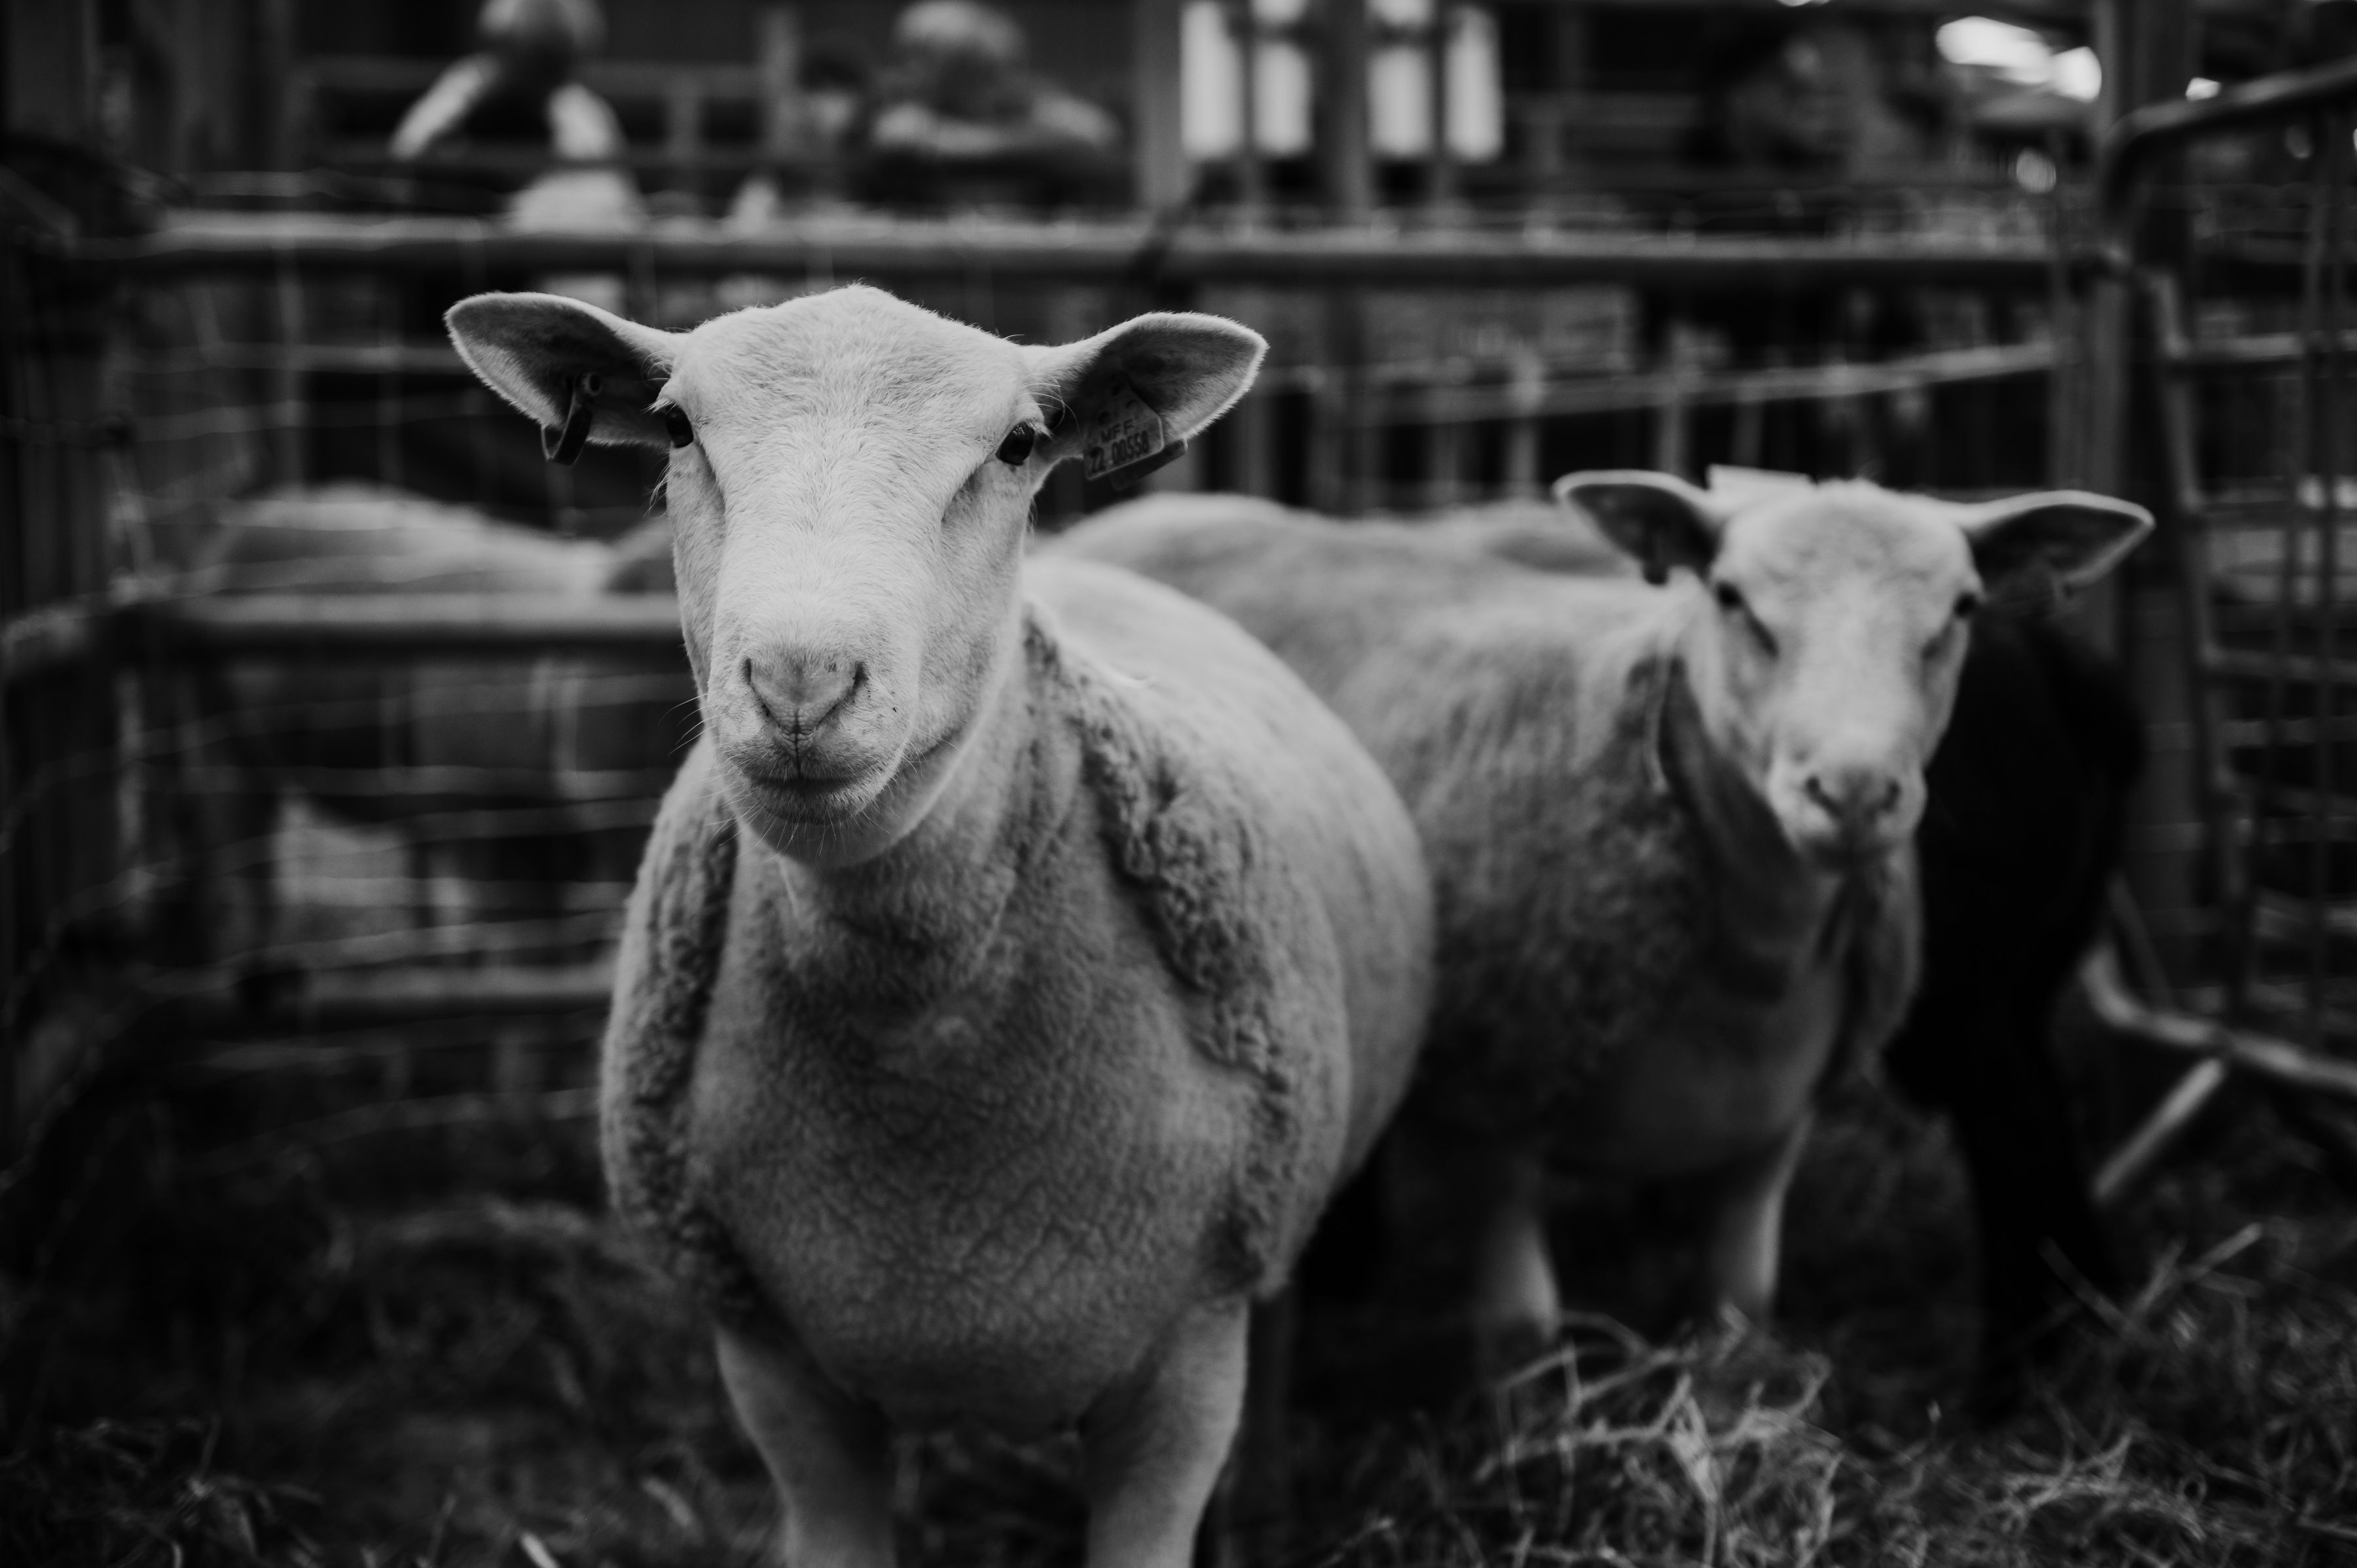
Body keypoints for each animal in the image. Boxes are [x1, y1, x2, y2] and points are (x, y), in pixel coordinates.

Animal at [1050, 472, 2149, 1370]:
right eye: (1731, 598)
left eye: (1959, 607)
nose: (1854, 790)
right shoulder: (1491, 1108)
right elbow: (1523, 1337)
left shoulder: (1771, 1128)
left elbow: (1737, 1323)